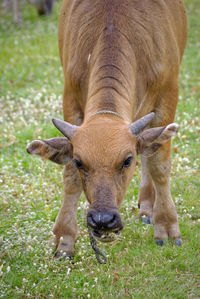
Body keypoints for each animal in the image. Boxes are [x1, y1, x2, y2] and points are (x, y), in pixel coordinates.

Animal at [25, 0, 187, 258]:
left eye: (127, 160)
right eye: (80, 162)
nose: (103, 221)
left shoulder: (168, 93)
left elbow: (159, 166)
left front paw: (167, 225)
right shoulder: (70, 96)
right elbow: (70, 177)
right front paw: (65, 238)